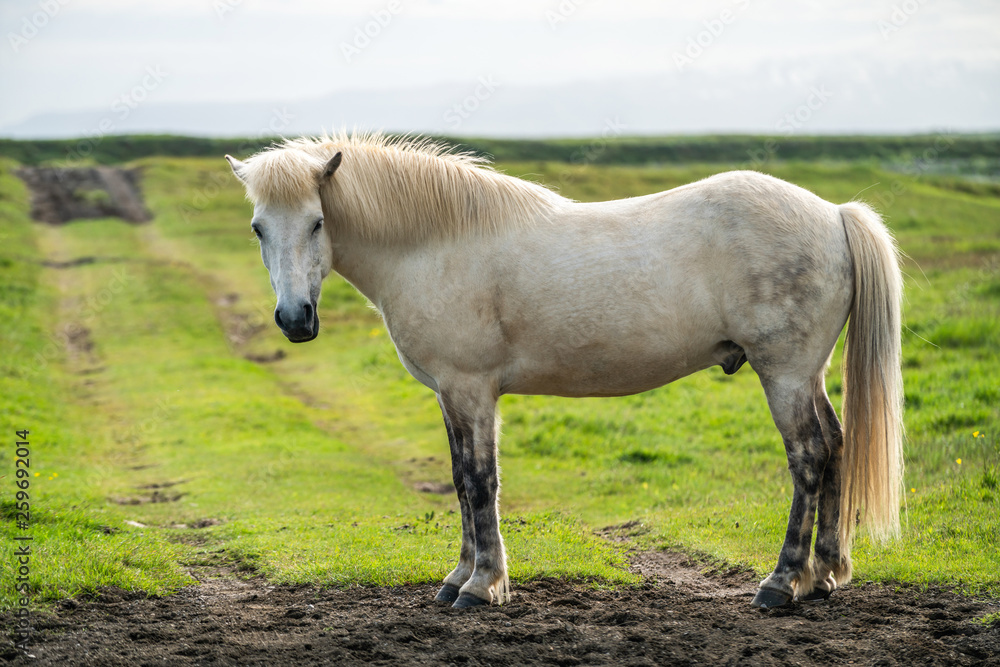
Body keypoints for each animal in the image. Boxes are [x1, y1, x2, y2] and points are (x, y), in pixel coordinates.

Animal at [227, 134, 908, 612]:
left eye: (317, 222)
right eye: (258, 228)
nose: (295, 319)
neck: (434, 245)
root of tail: (833, 213)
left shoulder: (471, 389)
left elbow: (480, 482)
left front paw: (482, 586)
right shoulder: (451, 395)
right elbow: (460, 480)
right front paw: (458, 577)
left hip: (784, 373)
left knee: (809, 456)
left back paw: (782, 582)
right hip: (808, 375)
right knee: (837, 446)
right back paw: (824, 576)